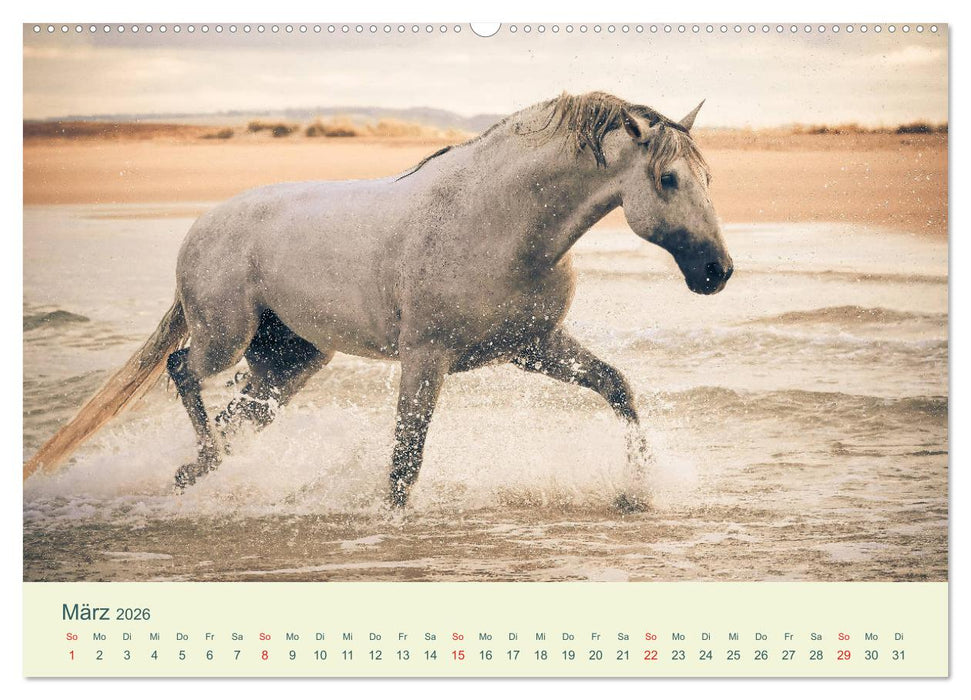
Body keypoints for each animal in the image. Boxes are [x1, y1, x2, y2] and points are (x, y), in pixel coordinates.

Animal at [23, 91, 733, 508]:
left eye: (708, 177)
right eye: (668, 179)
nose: (717, 272)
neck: (501, 222)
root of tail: (202, 226)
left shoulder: (533, 346)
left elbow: (619, 389)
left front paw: (636, 493)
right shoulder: (426, 358)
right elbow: (404, 461)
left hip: (290, 363)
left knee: (236, 416)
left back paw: (204, 475)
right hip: (224, 337)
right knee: (180, 371)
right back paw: (212, 462)